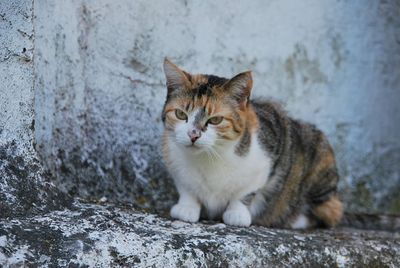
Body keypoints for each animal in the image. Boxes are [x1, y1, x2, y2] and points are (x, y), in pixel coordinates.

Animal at [161, 58, 342, 228]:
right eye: (180, 114)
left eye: (215, 120)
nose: (193, 134)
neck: (208, 157)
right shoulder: (173, 162)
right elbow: (186, 188)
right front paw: (186, 207)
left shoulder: (275, 139)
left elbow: (246, 191)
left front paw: (237, 213)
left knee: (328, 212)